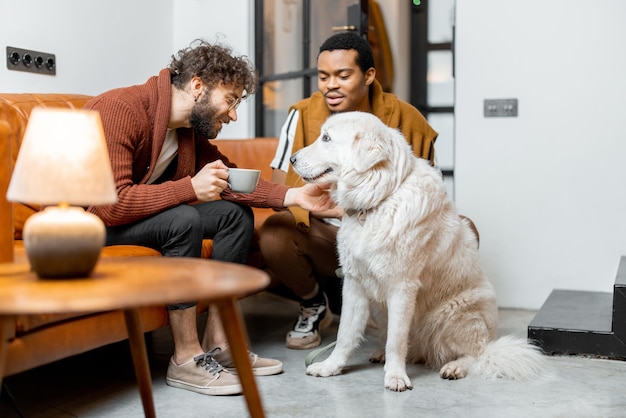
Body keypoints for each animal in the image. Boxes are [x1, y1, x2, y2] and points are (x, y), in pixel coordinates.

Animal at [290, 112, 544, 392]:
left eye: (326, 138)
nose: (292, 159)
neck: (378, 201)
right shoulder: (355, 284)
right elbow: (345, 334)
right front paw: (331, 367)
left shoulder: (402, 287)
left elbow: (396, 340)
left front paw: (396, 377)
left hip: (453, 315)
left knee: (477, 355)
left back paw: (454, 367)